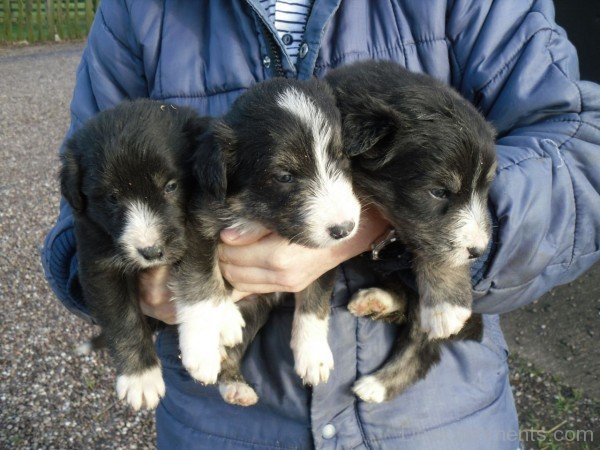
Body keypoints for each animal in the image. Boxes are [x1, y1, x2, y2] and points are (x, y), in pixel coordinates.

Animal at [59, 100, 209, 410]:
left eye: (171, 186)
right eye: (112, 197)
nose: (151, 251)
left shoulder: (202, 223)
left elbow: (197, 279)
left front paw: (203, 348)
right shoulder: (99, 262)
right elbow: (122, 318)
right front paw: (140, 379)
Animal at [173, 76, 360, 398]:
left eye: (340, 156)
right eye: (284, 176)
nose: (344, 230)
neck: (254, 215)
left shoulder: (322, 255)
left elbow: (316, 299)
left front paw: (313, 355)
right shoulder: (197, 224)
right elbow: (198, 282)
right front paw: (200, 350)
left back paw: (235, 384)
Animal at [324, 59, 496, 400]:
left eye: (486, 188)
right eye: (439, 192)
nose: (479, 251)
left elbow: (437, 248)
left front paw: (447, 305)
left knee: (421, 344)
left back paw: (376, 386)